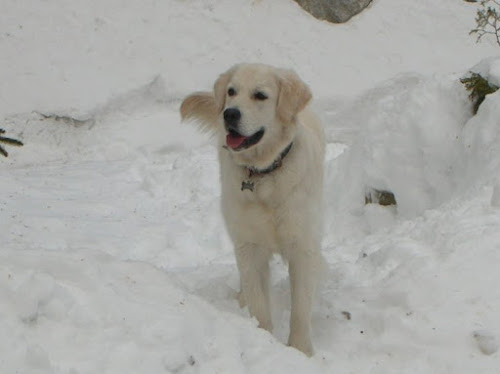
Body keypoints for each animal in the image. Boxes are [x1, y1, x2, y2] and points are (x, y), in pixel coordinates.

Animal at [180, 62, 324, 356]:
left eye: (260, 95)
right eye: (231, 92)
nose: (229, 113)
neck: (263, 174)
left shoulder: (302, 245)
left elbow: (300, 308)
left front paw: (301, 351)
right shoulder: (249, 244)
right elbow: (258, 301)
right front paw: (264, 341)